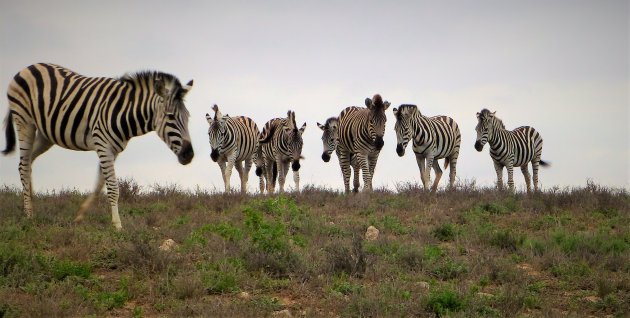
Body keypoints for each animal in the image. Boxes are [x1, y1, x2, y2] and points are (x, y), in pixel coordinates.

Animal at [1, 63, 195, 230]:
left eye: (188, 117)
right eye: (170, 117)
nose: (189, 155)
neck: (124, 111)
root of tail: (28, 67)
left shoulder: (113, 150)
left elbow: (99, 184)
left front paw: (80, 216)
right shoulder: (103, 144)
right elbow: (113, 188)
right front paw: (117, 226)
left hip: (46, 134)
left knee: (28, 162)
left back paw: (31, 201)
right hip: (24, 121)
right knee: (23, 164)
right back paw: (28, 214)